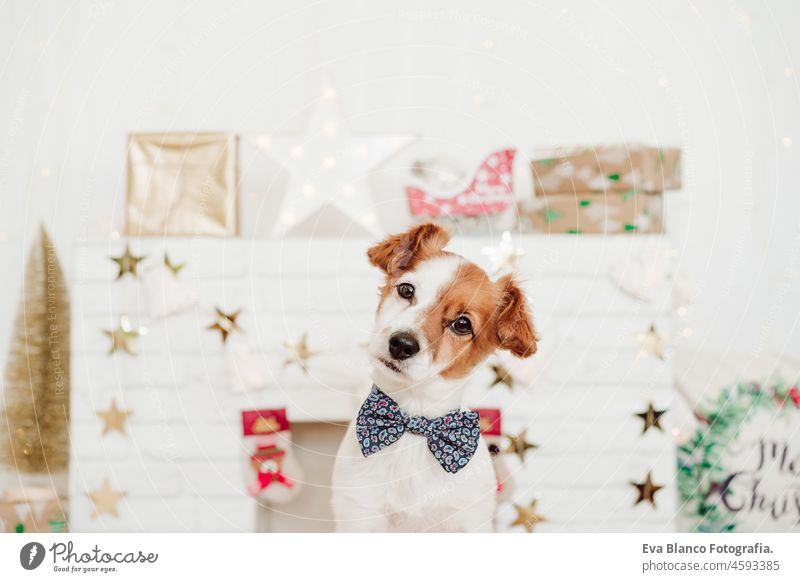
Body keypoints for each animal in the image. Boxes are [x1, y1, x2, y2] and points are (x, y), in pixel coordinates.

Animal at [332, 225, 536, 532]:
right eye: (406, 290)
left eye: (462, 324)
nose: (401, 344)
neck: (413, 422)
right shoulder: (358, 514)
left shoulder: (471, 520)